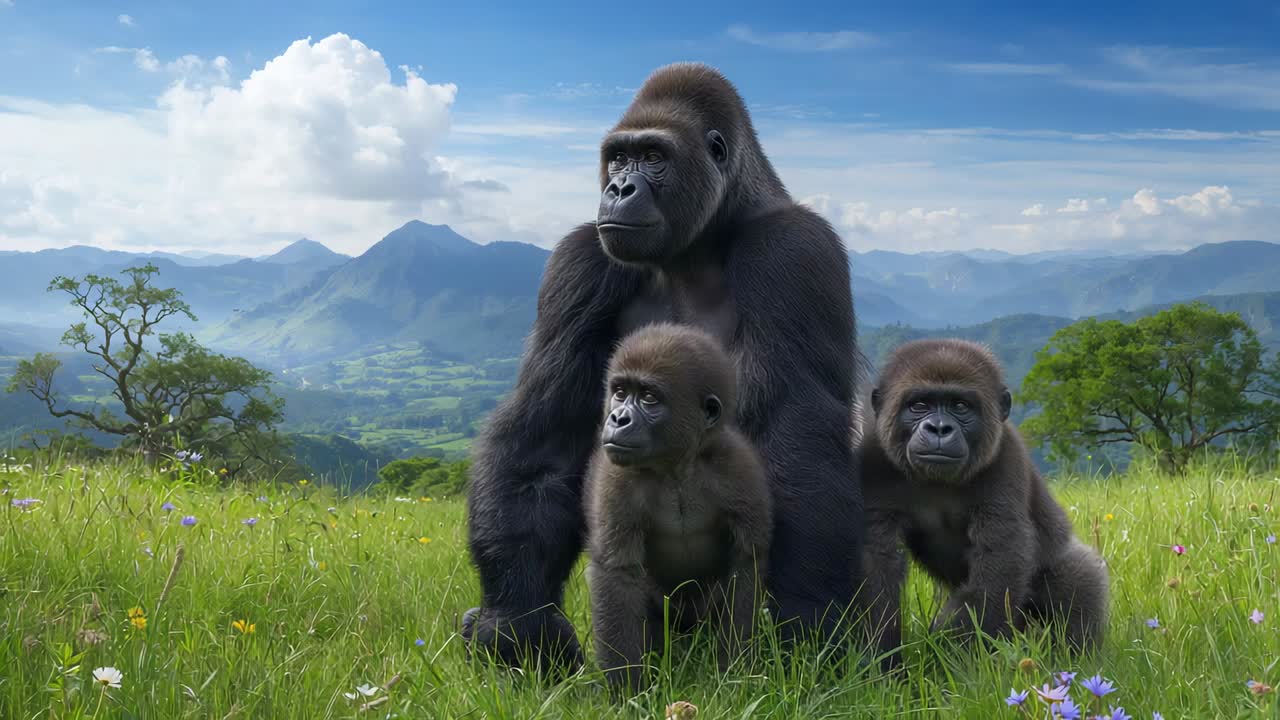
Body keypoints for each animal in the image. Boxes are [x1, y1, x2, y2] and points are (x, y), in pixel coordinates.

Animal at [584, 323, 772, 692]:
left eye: (649, 398)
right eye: (620, 392)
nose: (617, 417)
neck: (676, 466)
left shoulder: (736, 465)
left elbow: (746, 563)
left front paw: (734, 671)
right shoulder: (618, 476)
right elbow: (617, 573)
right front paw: (627, 691)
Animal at [858, 339, 1108, 668]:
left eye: (960, 406)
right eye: (919, 405)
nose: (939, 429)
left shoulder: (1005, 457)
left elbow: (999, 560)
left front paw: (959, 661)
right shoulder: (873, 458)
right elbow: (877, 562)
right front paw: (881, 660)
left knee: (1079, 576)